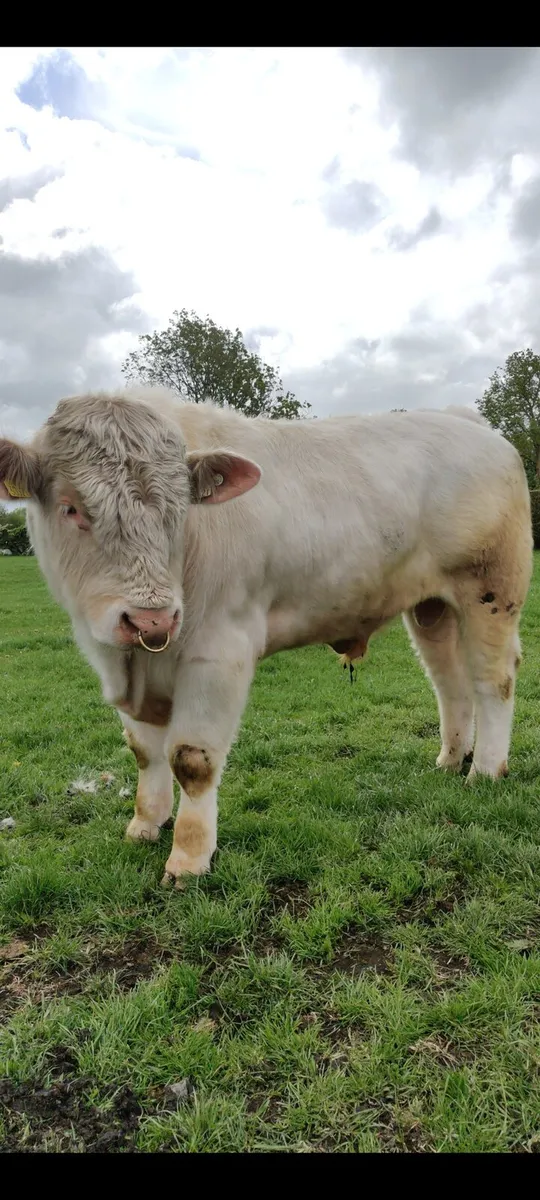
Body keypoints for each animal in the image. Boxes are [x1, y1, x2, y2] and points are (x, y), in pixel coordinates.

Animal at [0, 390, 533, 886]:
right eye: (70, 508)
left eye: (180, 512)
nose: (151, 620)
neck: (135, 668)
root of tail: (467, 421)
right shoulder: (119, 658)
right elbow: (144, 750)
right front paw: (146, 824)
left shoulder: (220, 651)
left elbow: (191, 759)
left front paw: (189, 858)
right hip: (431, 607)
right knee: (448, 682)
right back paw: (451, 759)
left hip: (490, 590)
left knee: (493, 680)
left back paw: (485, 770)